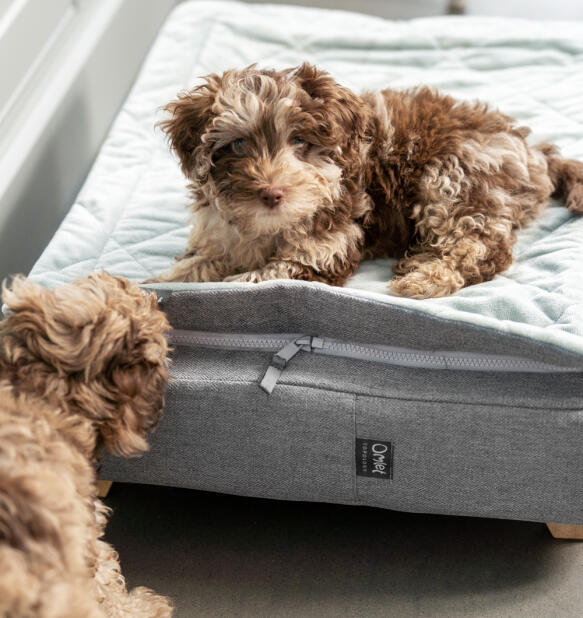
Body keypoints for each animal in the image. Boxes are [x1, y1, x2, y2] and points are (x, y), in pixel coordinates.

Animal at [149, 61, 583, 298]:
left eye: (300, 141)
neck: (271, 227)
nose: (272, 193)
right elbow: (194, 268)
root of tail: (532, 149)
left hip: (455, 175)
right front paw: (157, 283)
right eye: (238, 145)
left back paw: (425, 278)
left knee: (481, 247)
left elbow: (254, 280)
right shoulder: (221, 238)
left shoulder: (323, 251)